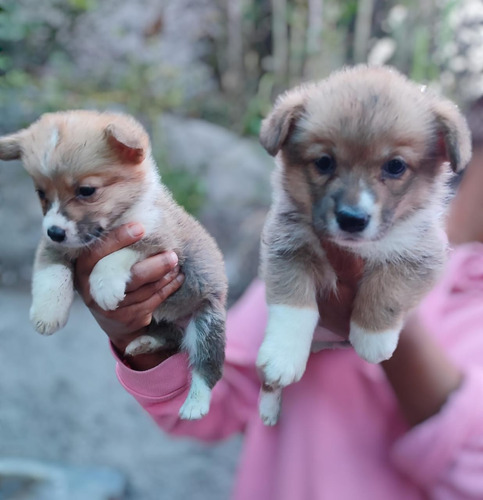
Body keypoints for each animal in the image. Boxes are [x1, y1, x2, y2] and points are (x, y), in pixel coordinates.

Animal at [0, 111, 229, 420]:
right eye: (40, 193)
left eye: (87, 190)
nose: (55, 231)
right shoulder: (54, 248)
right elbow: (52, 274)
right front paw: (48, 312)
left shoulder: (161, 242)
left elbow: (115, 255)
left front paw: (104, 287)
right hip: (164, 321)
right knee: (172, 336)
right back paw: (145, 342)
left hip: (206, 323)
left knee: (206, 368)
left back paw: (195, 404)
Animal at [258, 63, 472, 426]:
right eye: (324, 162)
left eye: (395, 166)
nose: (352, 219)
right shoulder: (287, 243)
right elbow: (293, 305)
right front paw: (283, 356)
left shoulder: (422, 253)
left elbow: (389, 286)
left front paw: (373, 337)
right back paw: (269, 405)